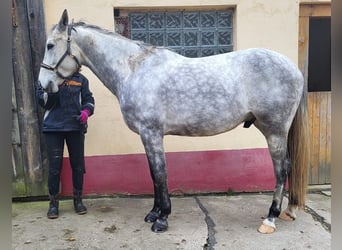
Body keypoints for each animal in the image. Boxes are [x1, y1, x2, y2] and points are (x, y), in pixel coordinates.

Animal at [38, 10, 308, 234]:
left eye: (50, 45)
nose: (44, 86)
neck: (134, 70)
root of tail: (293, 67)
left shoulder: (152, 133)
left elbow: (160, 174)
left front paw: (162, 218)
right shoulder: (146, 136)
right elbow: (153, 174)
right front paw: (153, 212)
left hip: (274, 131)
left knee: (281, 169)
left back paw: (270, 218)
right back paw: (287, 211)